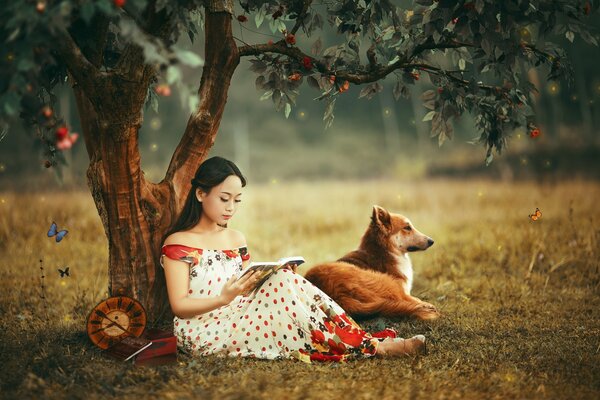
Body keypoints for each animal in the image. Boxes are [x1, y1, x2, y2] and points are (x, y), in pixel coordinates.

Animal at [304, 205, 440, 320]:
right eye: (407, 227)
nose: (432, 241)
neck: (383, 252)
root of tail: (337, 293)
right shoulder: (403, 291)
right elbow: (415, 299)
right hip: (388, 283)